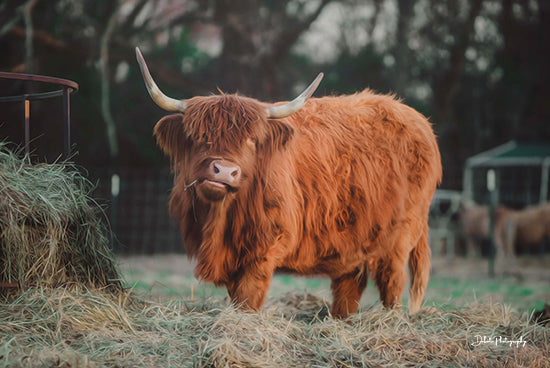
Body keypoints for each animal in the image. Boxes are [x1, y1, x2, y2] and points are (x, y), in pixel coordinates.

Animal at [136, 47, 442, 318]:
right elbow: (236, 297)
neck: (220, 222)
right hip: (353, 239)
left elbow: (248, 297)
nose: (224, 171)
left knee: (392, 282)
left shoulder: (265, 247)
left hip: (401, 236)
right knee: (350, 284)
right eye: (199, 136)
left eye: (251, 140)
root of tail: (418, 120)